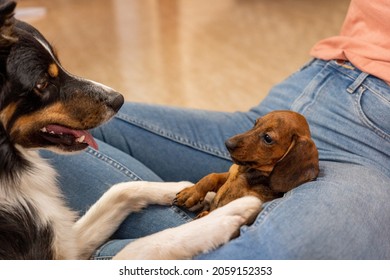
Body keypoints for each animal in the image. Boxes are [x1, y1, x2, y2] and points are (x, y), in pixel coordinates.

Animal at [174, 110, 320, 219]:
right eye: (255, 123)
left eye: (268, 138)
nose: (227, 143)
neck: (247, 172)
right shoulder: (230, 173)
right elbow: (211, 177)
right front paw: (190, 193)